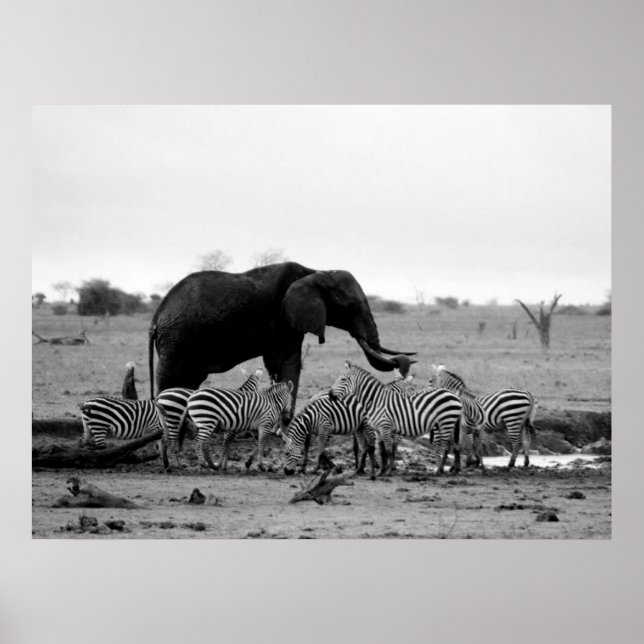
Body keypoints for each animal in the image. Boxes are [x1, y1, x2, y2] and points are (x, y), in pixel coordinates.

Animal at [148, 261, 415, 415]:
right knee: (171, 378)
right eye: (351, 306)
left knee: (188, 380)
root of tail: (156, 316)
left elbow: (282, 364)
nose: (406, 362)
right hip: (177, 340)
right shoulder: (282, 319)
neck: (315, 272)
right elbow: (286, 362)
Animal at [329, 362, 463, 476]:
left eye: (343, 379)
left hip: (446, 422)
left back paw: (438, 471)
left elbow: (389, 449)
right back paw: (443, 469)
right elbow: (382, 451)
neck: (376, 400)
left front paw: (388, 471)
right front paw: (381, 471)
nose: (330, 395)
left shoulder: (385, 426)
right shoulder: (378, 430)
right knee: (448, 445)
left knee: (443, 446)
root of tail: (454, 394)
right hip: (445, 424)